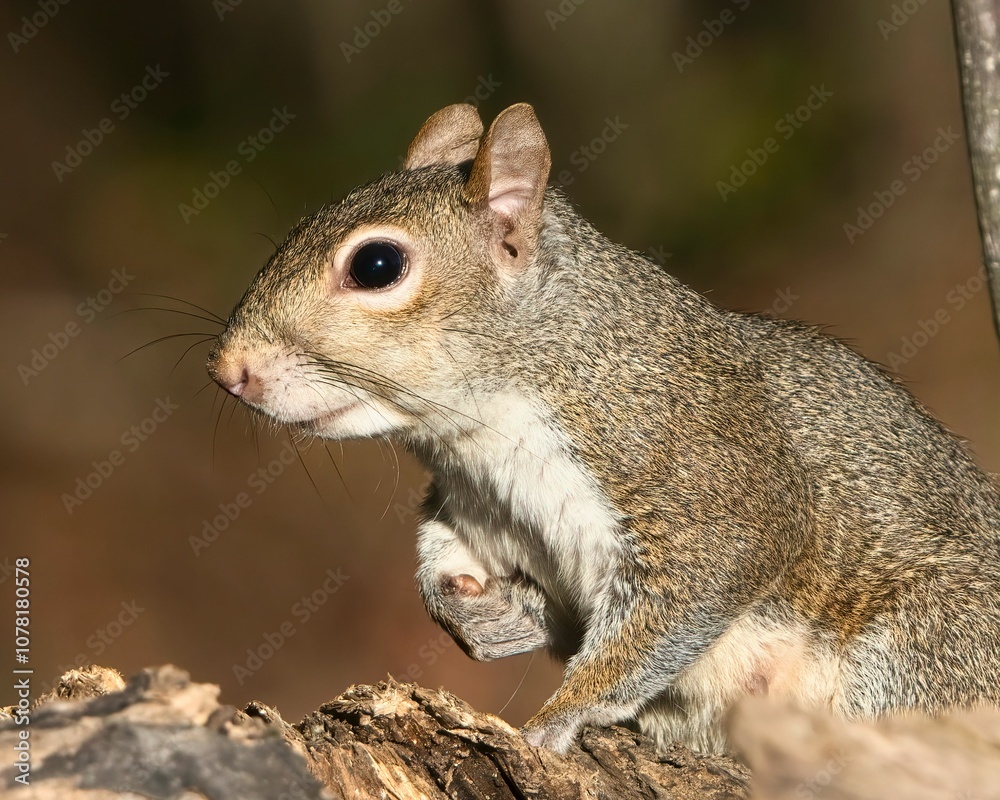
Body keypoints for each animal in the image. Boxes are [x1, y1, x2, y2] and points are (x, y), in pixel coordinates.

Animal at [207, 102, 1000, 755]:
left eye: (377, 264)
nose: (227, 370)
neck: (485, 433)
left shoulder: (701, 477)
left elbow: (687, 598)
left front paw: (556, 717)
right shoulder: (478, 507)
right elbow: (454, 558)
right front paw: (476, 612)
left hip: (930, 651)